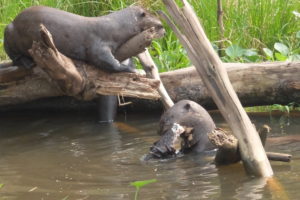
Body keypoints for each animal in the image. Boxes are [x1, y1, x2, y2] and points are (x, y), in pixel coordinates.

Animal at [4, 5, 164, 72]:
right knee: (13, 55)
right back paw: (27, 62)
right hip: (9, 32)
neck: (115, 26)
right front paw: (130, 69)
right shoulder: (97, 45)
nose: (163, 29)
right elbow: (104, 61)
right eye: (159, 25)